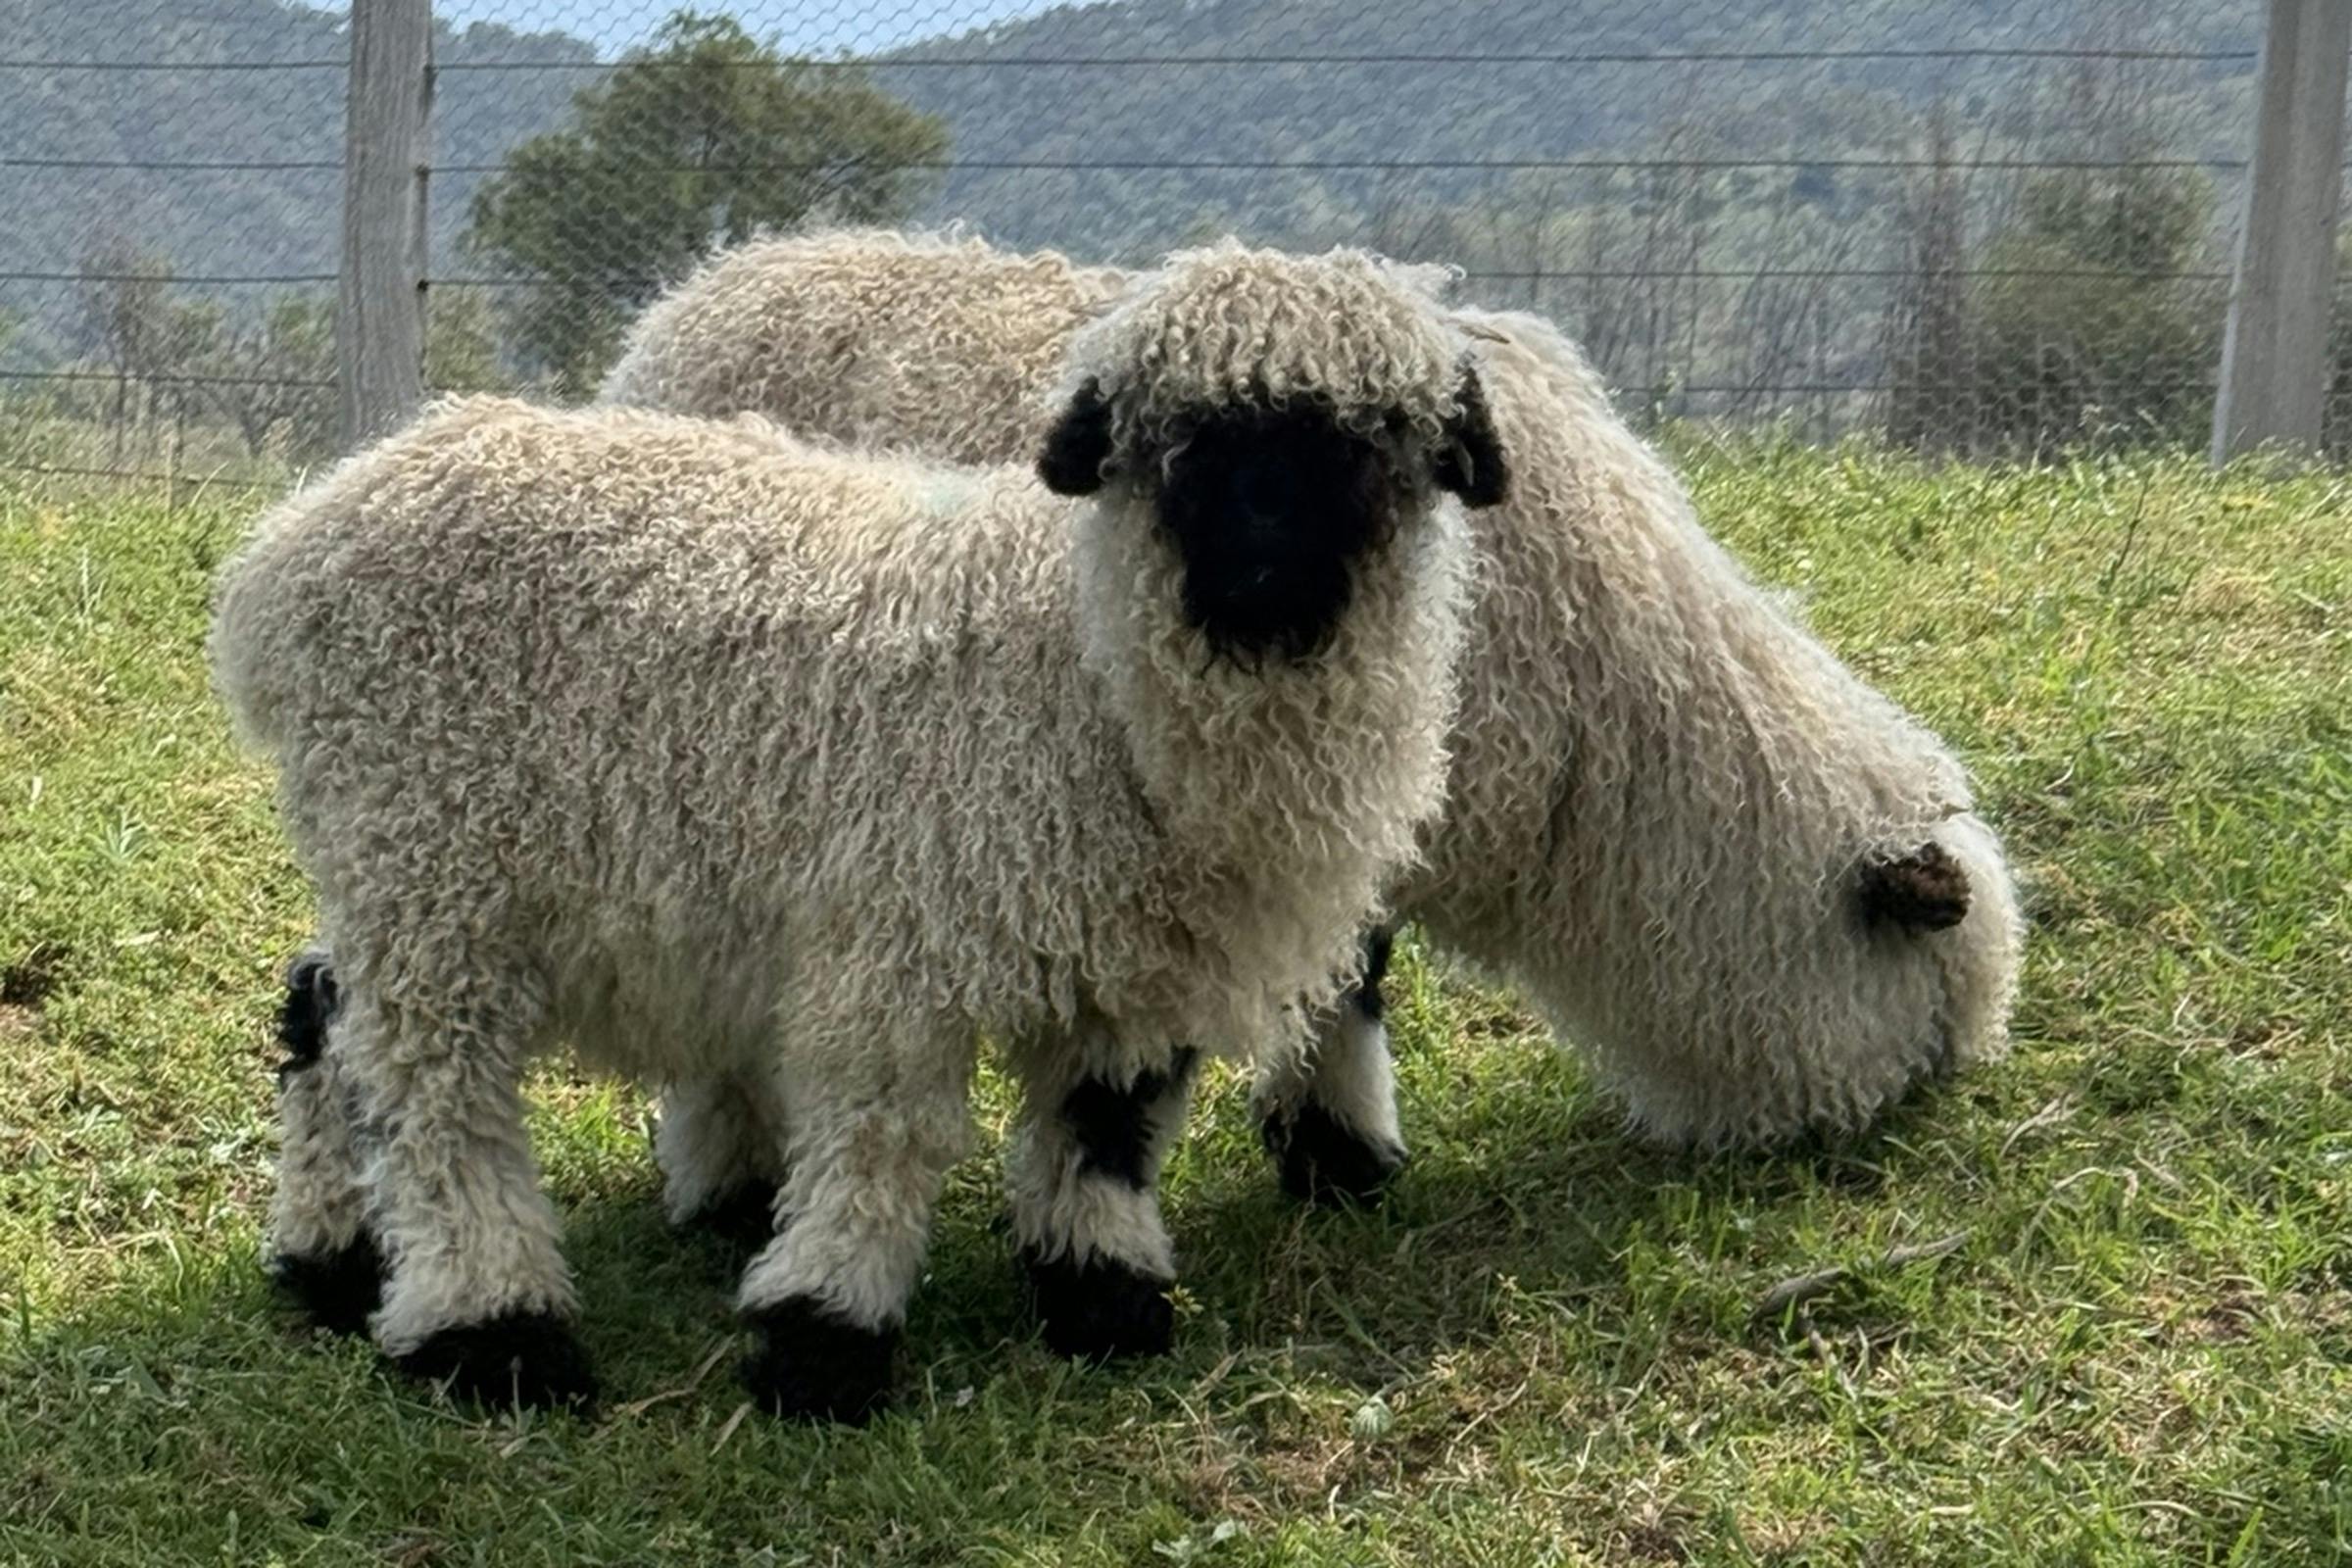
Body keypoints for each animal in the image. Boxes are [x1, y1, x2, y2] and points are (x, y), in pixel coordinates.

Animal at [217, 242, 1509, 1420]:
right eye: (1176, 439)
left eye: (1370, 437)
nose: (1262, 547)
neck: (1082, 674)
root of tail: (296, 547)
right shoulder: (895, 939)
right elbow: (878, 1140)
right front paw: (823, 1342)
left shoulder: (1133, 969)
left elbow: (1102, 1130)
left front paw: (1101, 1298)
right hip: (433, 855)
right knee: (434, 1090)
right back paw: (490, 1333)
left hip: (401, 864)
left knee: (325, 1006)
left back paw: (332, 1263)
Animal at [601, 229, 2023, 1213]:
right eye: (1923, 998)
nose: (1894, 1131)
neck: (1611, 720)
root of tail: (699, 291)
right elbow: (1351, 977)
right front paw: (1339, 1155)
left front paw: (1327, 1150)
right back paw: (728, 1184)